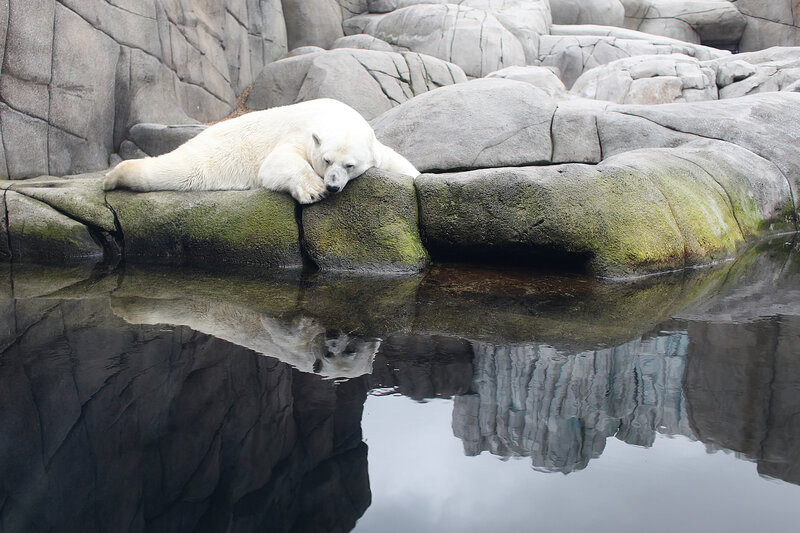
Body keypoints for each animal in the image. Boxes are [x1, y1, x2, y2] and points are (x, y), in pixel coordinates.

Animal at [103, 98, 419, 204]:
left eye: (349, 165)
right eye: (326, 160)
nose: (331, 186)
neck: (332, 113)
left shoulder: (374, 146)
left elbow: (395, 161)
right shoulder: (300, 133)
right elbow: (276, 163)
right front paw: (313, 191)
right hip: (217, 152)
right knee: (184, 170)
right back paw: (113, 177)